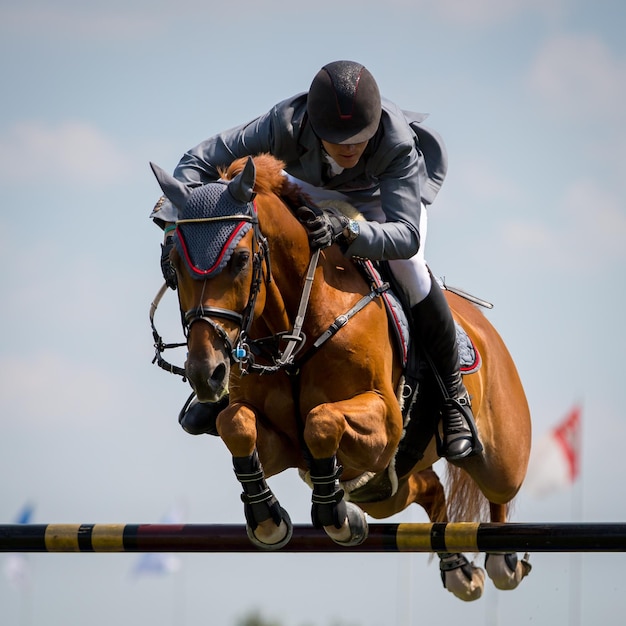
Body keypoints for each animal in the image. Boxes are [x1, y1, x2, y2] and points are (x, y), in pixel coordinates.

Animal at [151, 154, 532, 596]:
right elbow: (236, 423)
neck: (296, 329)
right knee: (427, 489)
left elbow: (321, 421)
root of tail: (482, 327)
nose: (205, 373)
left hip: (499, 461)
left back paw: (502, 558)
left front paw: (335, 514)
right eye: (173, 265)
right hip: (384, 490)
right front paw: (268, 518)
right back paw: (456, 568)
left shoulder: (386, 422)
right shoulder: (283, 445)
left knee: (499, 491)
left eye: (241, 260)